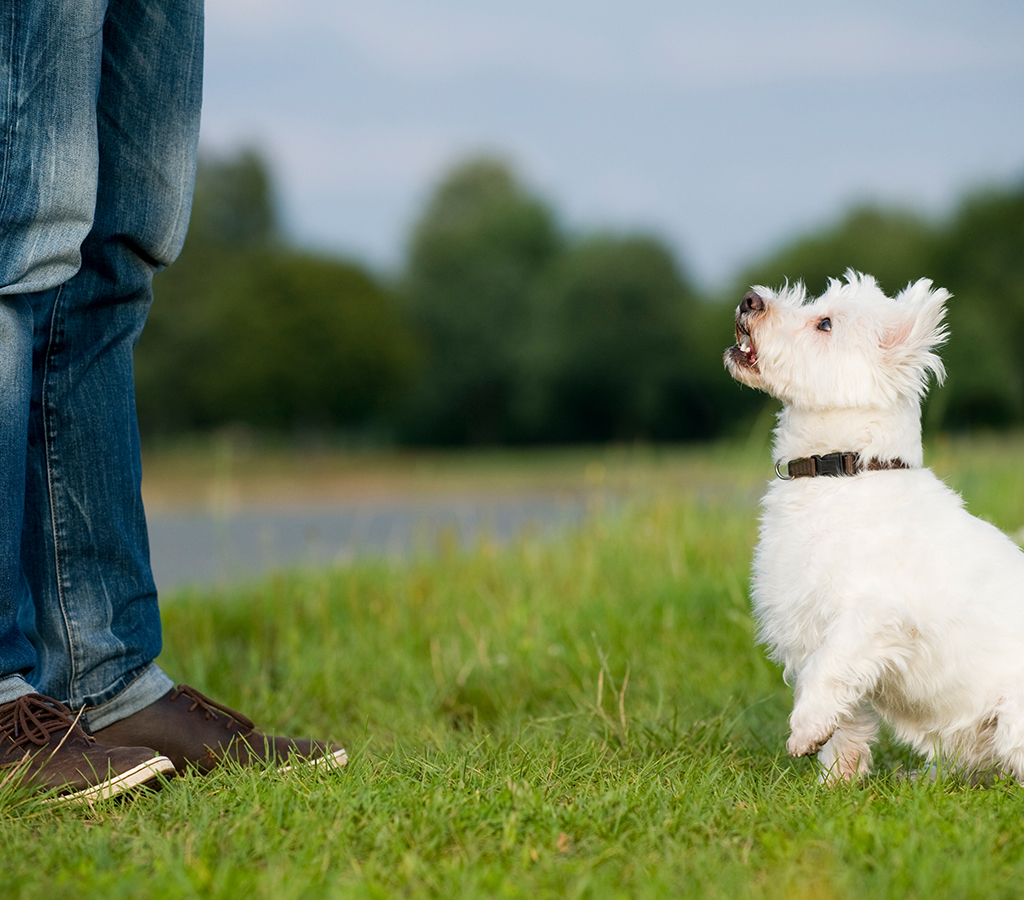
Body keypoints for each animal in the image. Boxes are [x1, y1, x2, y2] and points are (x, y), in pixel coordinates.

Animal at [724, 268, 1024, 782]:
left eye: (824, 323)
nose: (749, 300)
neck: (842, 474)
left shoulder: (870, 615)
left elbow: (828, 671)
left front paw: (804, 731)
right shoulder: (806, 624)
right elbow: (846, 716)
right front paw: (835, 779)